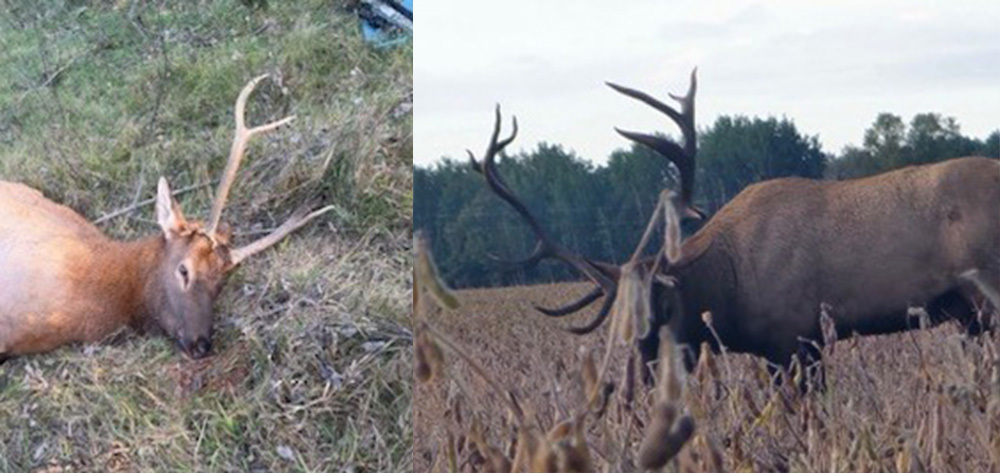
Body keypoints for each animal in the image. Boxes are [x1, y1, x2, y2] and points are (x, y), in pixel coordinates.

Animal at [467, 69, 1000, 385]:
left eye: (659, 307)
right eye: (616, 316)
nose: (638, 377)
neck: (729, 285)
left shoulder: (795, 336)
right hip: (970, 315)